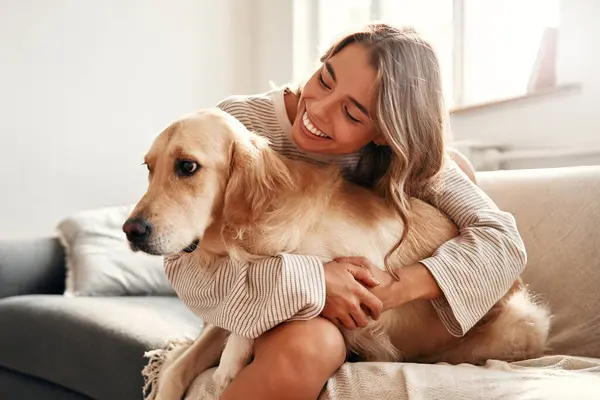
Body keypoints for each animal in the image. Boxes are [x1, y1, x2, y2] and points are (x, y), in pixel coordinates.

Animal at [124, 108, 552, 398]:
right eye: (148, 167)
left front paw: (231, 360)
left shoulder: (369, 271)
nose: (131, 230)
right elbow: (181, 365)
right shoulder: (239, 302)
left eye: (187, 166)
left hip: (524, 319)